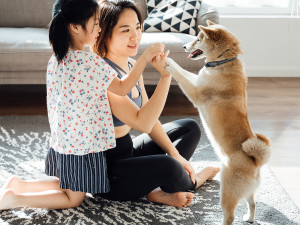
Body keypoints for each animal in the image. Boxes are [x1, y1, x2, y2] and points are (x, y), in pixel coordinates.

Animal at [166, 20, 272, 224]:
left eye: (198, 39)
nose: (184, 47)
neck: (223, 62)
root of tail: (255, 161)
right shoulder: (197, 80)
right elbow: (186, 72)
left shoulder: (196, 92)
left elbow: (180, 72)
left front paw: (168, 61)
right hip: (247, 191)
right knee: (253, 203)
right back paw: (249, 218)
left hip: (227, 191)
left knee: (230, 216)